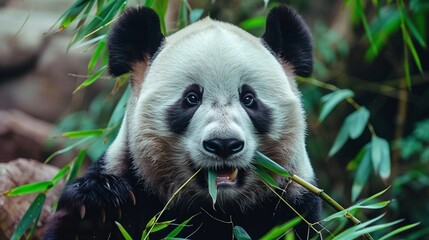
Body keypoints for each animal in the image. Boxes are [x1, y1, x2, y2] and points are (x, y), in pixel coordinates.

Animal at [45, 4, 320, 239]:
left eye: (249, 99)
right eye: (191, 98)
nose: (223, 144)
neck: (215, 208)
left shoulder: (293, 205)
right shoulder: (132, 177)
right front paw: (99, 207)